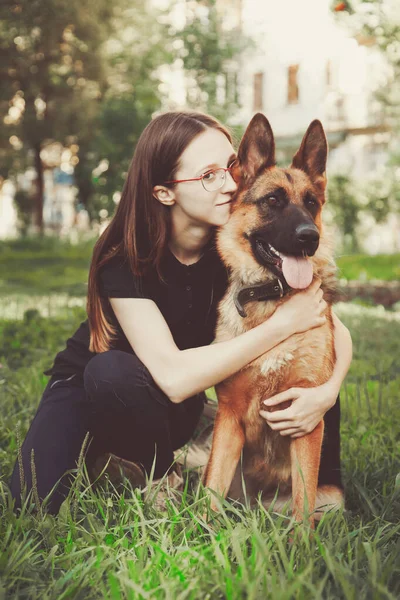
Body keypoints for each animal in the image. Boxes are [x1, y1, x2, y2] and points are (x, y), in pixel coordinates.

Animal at [202, 112, 346, 524]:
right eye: (272, 201)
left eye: (311, 203)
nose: (310, 237)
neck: (271, 303)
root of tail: (260, 507)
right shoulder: (229, 418)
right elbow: (210, 494)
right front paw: (201, 530)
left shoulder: (305, 421)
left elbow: (302, 508)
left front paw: (301, 543)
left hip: (333, 500)